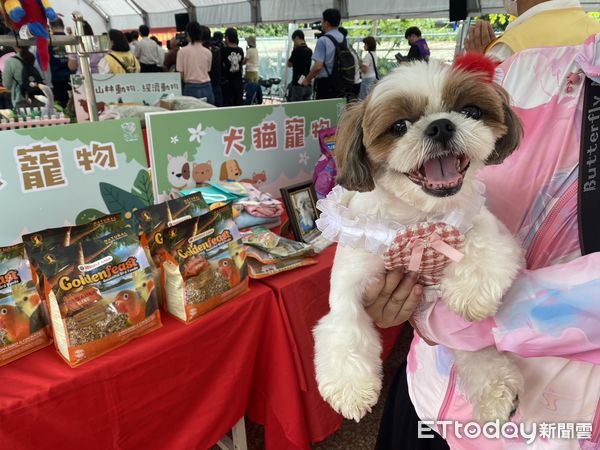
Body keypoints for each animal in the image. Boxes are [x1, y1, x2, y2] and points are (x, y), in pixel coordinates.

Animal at [314, 54, 524, 424]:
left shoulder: (485, 228)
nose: (441, 125)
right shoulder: (350, 279)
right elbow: (344, 326)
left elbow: (482, 247)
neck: (417, 219)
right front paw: (351, 389)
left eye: (470, 111)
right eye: (399, 126)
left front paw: (470, 292)